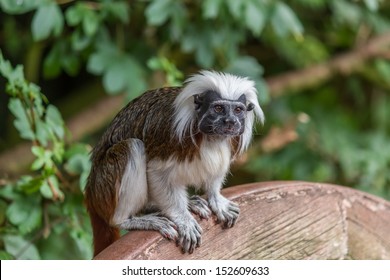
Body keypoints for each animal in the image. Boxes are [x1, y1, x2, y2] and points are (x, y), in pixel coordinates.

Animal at [84, 70, 264, 258]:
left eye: (238, 110)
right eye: (219, 108)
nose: (230, 121)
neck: (209, 137)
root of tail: (90, 189)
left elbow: (216, 170)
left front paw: (215, 198)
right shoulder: (168, 134)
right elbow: (157, 173)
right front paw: (183, 219)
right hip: (105, 183)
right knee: (133, 147)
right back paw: (128, 220)